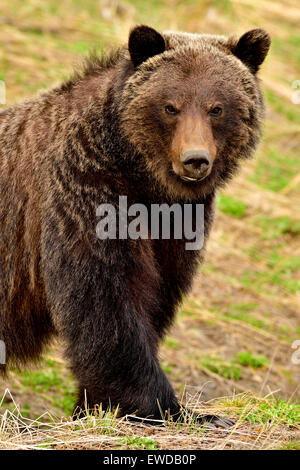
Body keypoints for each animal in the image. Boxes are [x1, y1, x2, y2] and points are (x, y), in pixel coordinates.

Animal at [0, 23, 270, 424]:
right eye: (170, 106)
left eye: (217, 108)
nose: (195, 160)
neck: (144, 179)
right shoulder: (86, 191)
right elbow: (107, 300)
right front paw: (169, 406)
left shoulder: (176, 227)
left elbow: (156, 297)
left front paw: (92, 403)